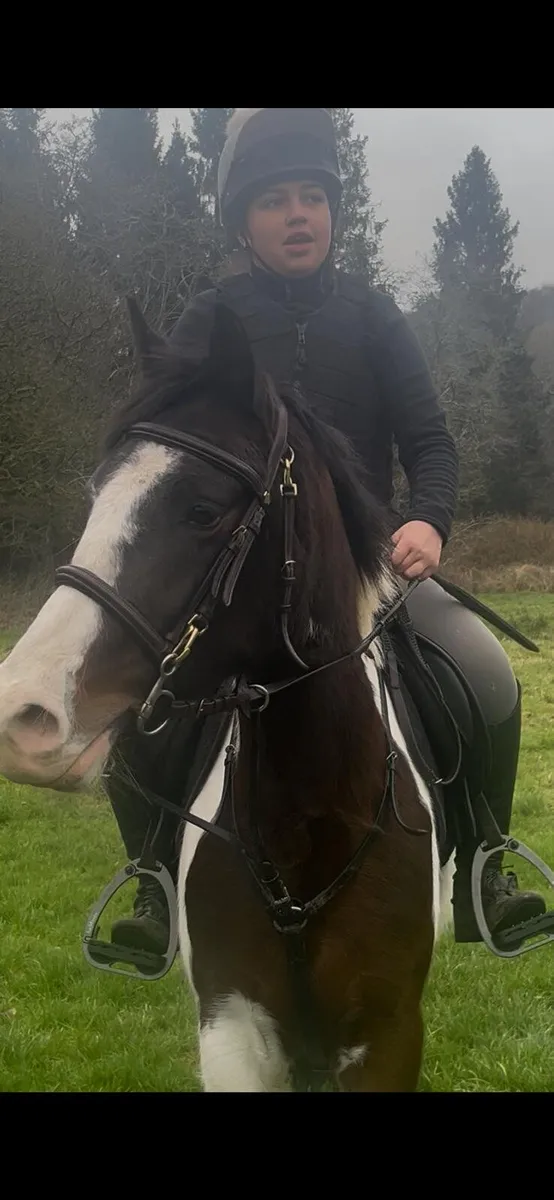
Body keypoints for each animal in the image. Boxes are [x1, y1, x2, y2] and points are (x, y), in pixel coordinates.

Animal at [0, 300, 453, 1092]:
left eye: (203, 511)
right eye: (98, 494)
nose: (25, 716)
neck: (309, 818)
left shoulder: (389, 1034)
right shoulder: (231, 1026)